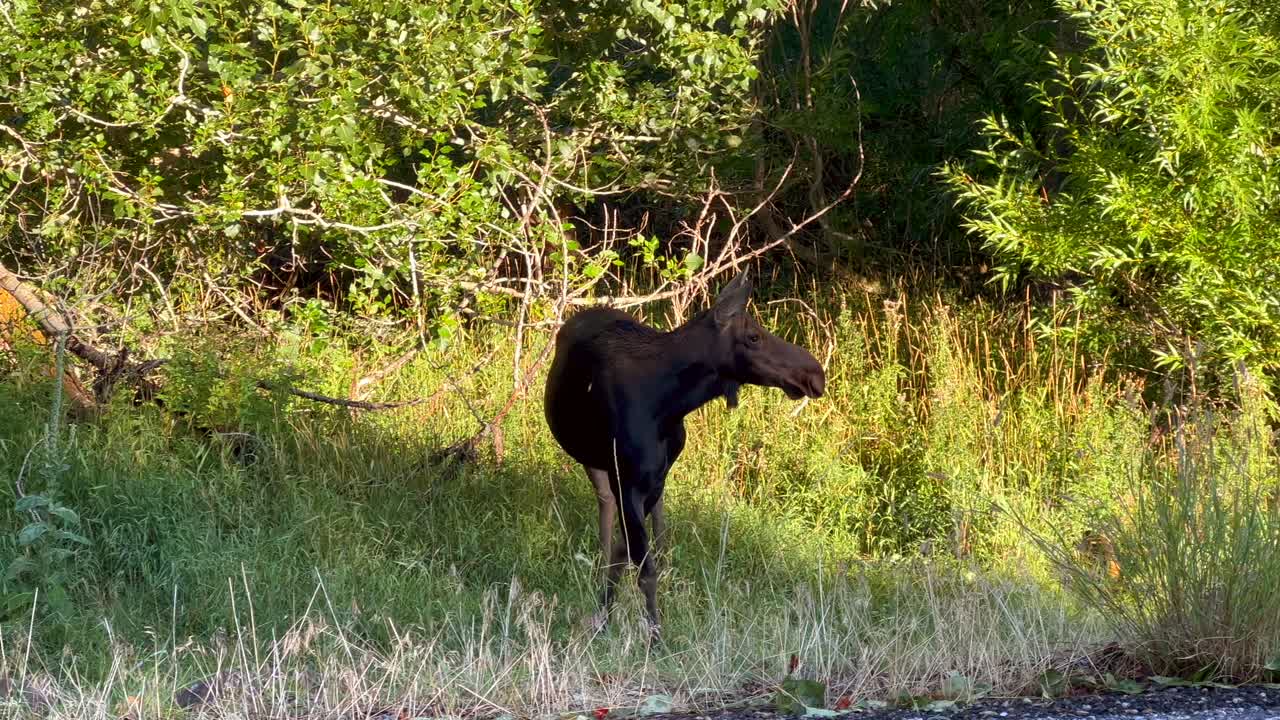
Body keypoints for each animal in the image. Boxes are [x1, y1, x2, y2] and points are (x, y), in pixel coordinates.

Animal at [543, 271, 826, 638]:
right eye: (753, 337)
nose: (815, 373)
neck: (670, 403)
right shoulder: (627, 480)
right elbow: (641, 568)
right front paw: (648, 634)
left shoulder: (653, 479)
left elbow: (631, 553)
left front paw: (612, 615)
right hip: (595, 462)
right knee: (605, 509)